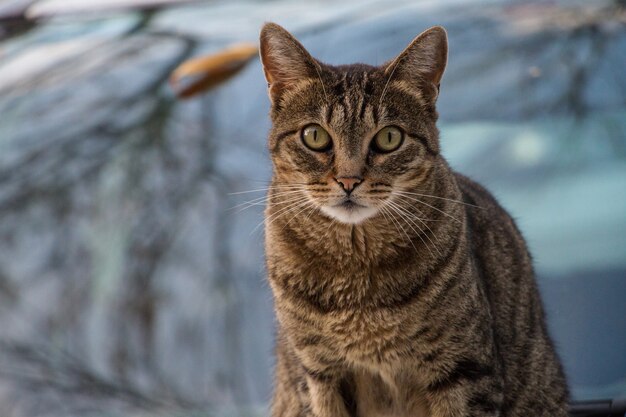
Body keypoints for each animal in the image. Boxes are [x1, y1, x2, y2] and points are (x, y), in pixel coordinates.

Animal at [256, 22, 568, 416]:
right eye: (315, 136)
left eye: (389, 138)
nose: (348, 180)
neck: (356, 273)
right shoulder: (321, 375)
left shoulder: (463, 370)